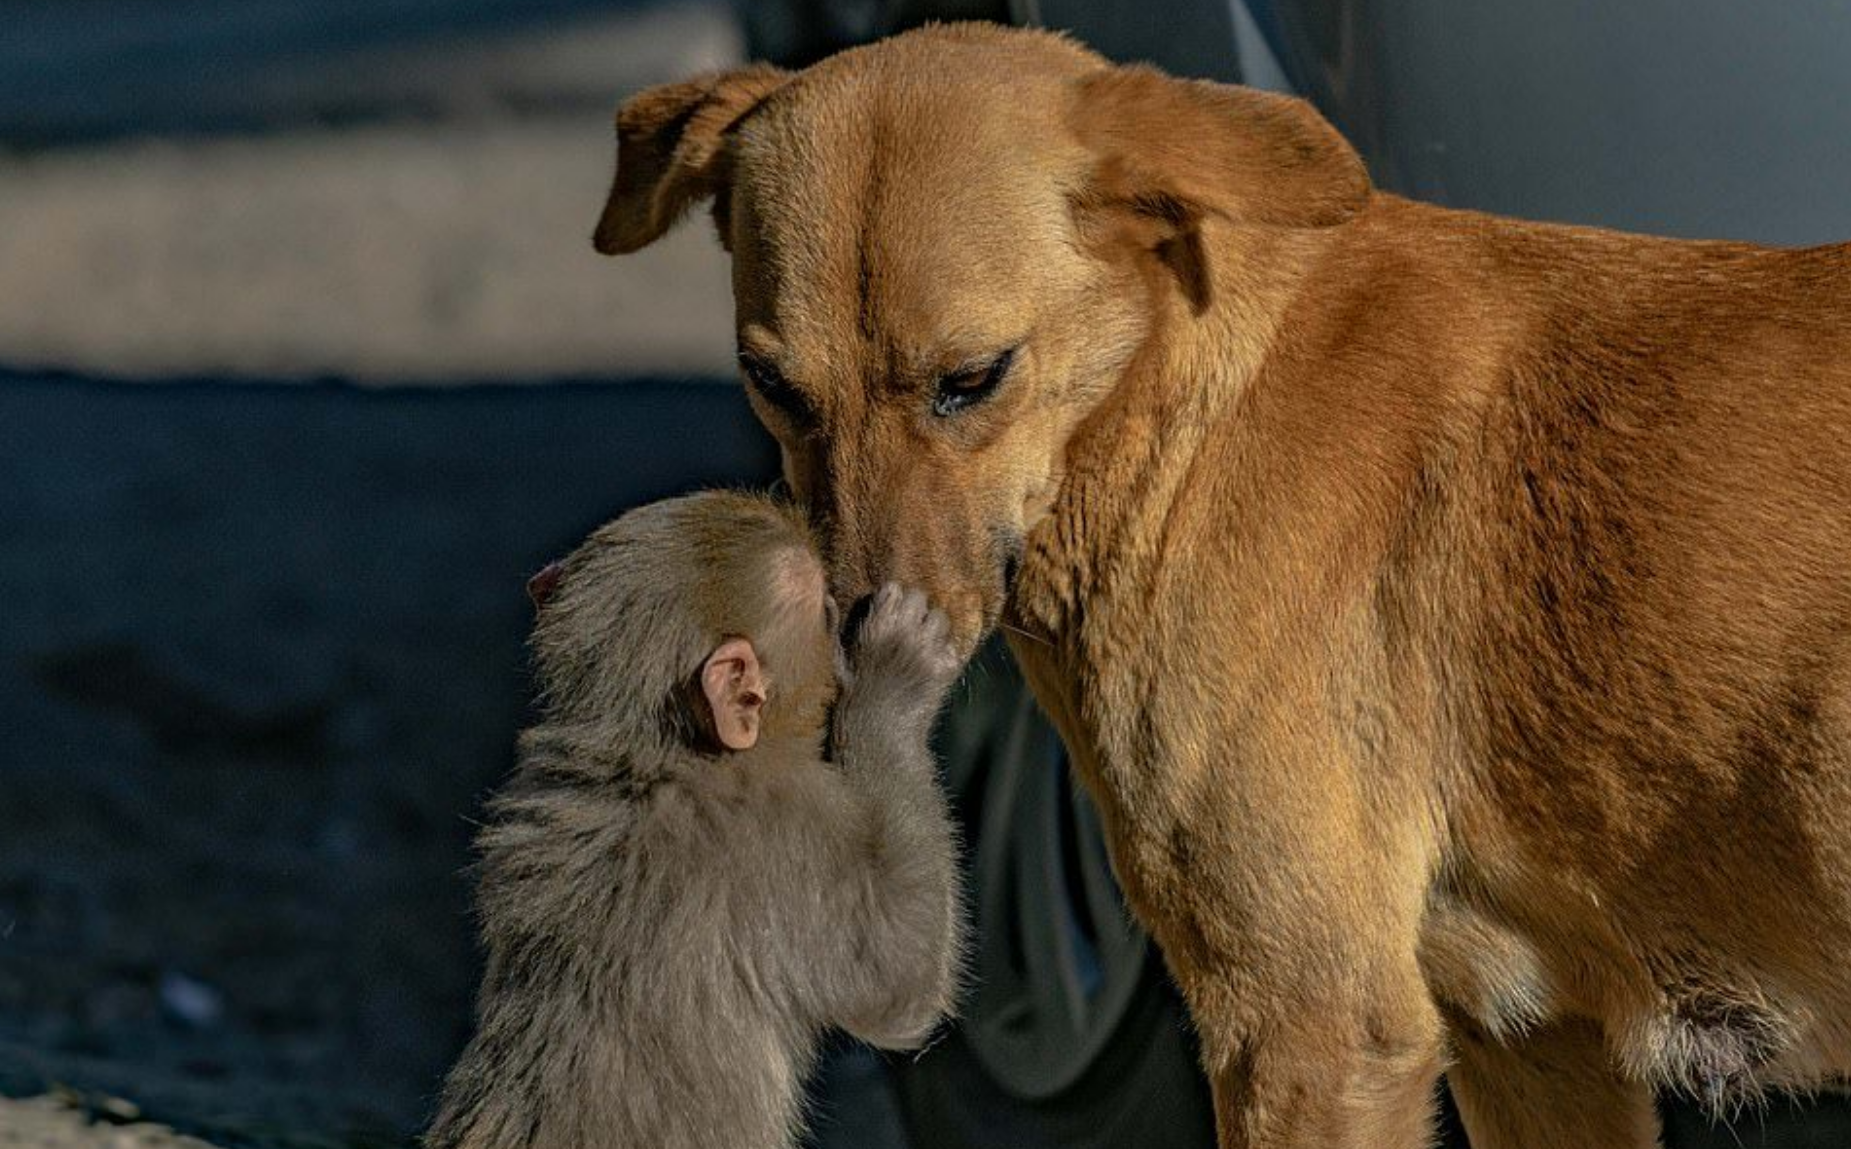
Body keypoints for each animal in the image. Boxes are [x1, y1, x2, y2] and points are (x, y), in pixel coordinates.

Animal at [423, 492, 962, 1147]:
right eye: (831, 617)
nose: (847, 621)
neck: (654, 761)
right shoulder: (783, 833)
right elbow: (900, 981)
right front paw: (895, 678)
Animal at [592, 24, 1851, 1147]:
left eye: (972, 378)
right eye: (770, 385)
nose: (849, 655)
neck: (1176, 410)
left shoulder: (1311, 1030)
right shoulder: (1534, 1046)